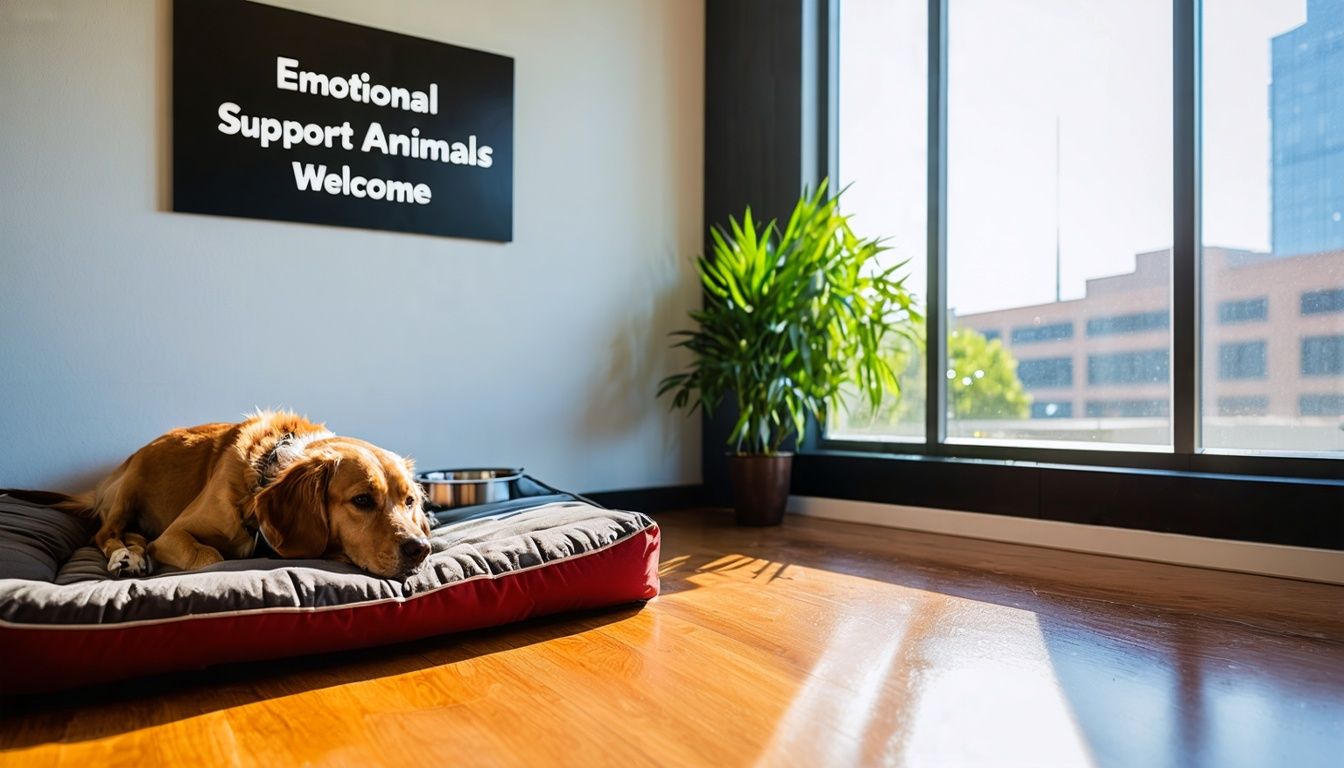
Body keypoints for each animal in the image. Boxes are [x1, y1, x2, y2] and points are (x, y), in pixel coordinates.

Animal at [0, 411, 430, 581]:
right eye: (362, 500)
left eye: (409, 501)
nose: (420, 549)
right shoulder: (175, 535)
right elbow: (211, 557)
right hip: (132, 483)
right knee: (105, 533)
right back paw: (124, 556)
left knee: (135, 536)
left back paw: (136, 554)